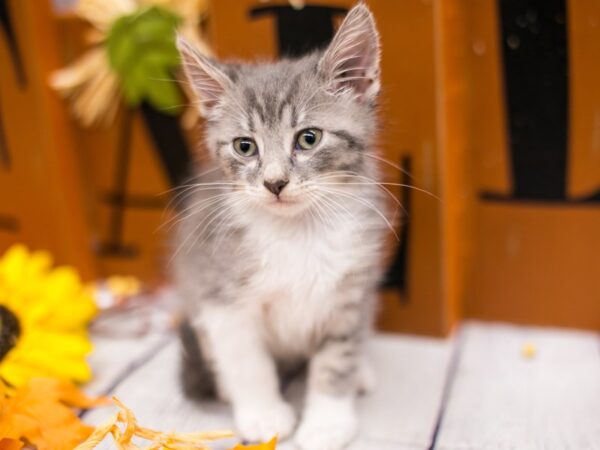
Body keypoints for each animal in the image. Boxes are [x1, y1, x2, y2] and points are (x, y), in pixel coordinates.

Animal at [173, 4, 390, 450]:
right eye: (245, 146)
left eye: (308, 138)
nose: (274, 182)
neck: (297, 233)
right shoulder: (220, 290)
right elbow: (246, 359)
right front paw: (263, 414)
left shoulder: (352, 287)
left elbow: (337, 356)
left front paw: (326, 423)